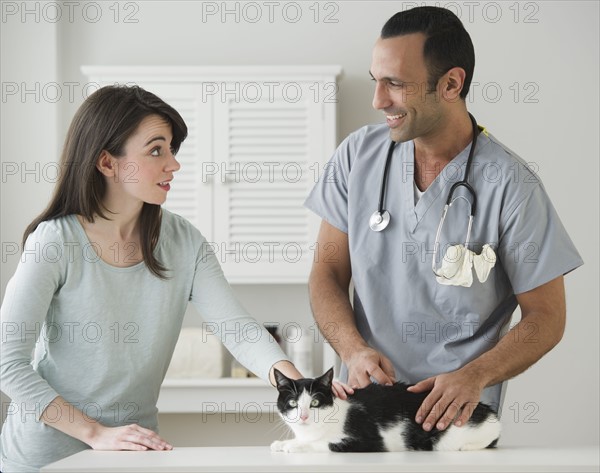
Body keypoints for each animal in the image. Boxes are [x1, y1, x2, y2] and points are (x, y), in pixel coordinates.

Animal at [272, 366, 502, 452]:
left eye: (315, 403)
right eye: (292, 403)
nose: (303, 416)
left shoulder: (369, 440)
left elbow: (322, 443)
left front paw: (294, 446)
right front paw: (284, 443)